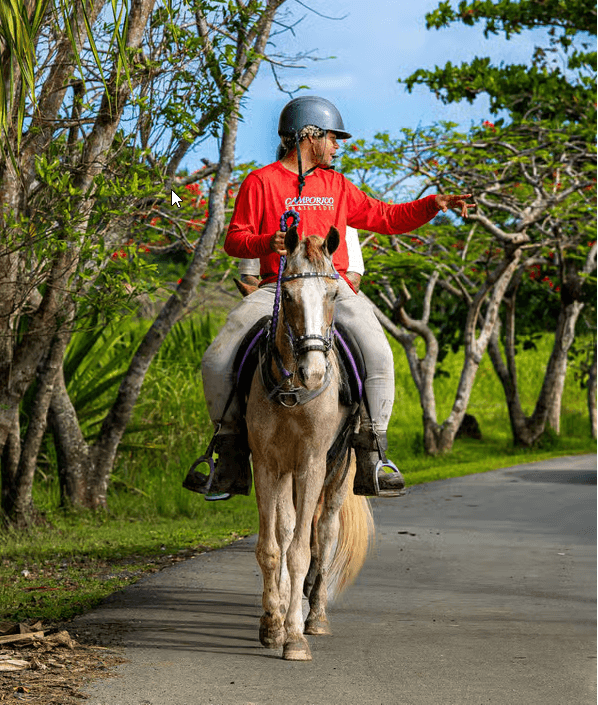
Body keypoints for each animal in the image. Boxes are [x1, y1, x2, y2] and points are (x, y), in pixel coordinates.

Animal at [243, 224, 375, 662]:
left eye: (333, 295)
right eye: (289, 296)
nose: (315, 371)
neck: (292, 392)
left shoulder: (313, 464)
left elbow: (302, 549)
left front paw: (295, 638)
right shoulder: (268, 464)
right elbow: (273, 547)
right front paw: (273, 624)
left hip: (339, 472)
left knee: (326, 535)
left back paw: (314, 616)